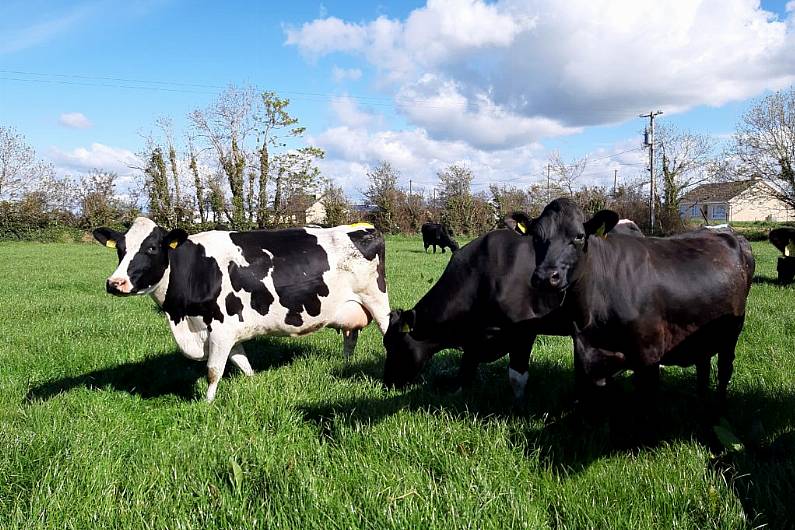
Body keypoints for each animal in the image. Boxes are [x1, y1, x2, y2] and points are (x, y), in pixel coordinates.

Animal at [93, 217, 392, 398]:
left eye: (152, 248)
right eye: (120, 249)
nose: (115, 283)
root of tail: (363, 227)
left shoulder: (220, 327)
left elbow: (214, 370)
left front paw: (206, 404)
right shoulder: (228, 328)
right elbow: (242, 362)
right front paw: (253, 384)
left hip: (376, 299)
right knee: (350, 337)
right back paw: (345, 365)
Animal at [382, 212, 644, 402]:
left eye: (395, 345)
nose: (386, 383)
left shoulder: (523, 331)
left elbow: (517, 376)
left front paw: (518, 406)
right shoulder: (475, 338)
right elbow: (466, 370)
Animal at [524, 198, 756, 404]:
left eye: (579, 236)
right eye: (535, 237)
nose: (546, 277)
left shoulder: (648, 357)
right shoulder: (585, 354)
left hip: (731, 333)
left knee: (724, 371)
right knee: (703, 365)